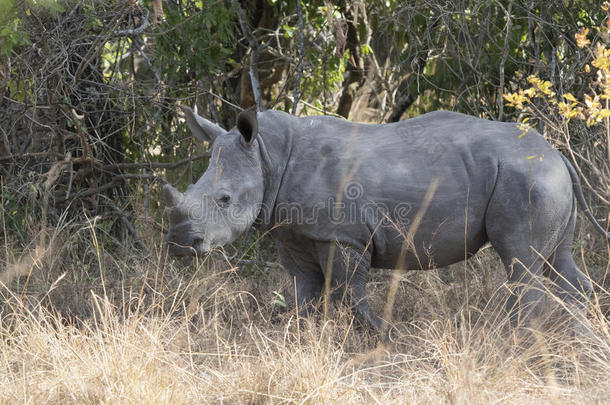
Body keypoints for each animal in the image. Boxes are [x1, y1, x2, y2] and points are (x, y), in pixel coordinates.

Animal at [164, 107, 604, 332]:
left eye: (224, 199)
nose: (181, 244)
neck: (269, 156)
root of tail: (557, 154)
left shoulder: (341, 235)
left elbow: (348, 292)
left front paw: (383, 337)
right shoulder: (295, 229)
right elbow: (305, 291)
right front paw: (296, 337)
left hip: (525, 176)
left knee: (521, 262)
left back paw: (511, 341)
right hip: (543, 176)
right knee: (557, 261)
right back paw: (579, 340)